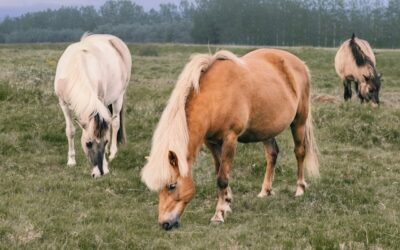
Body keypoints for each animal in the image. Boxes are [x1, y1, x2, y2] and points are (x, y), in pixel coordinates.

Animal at [54, 33, 131, 178]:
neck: (77, 68)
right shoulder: (63, 104)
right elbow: (70, 131)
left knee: (115, 123)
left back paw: (113, 153)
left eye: (105, 141)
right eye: (88, 144)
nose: (100, 173)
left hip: (119, 96)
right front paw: (71, 161)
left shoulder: (100, 101)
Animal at [141, 48, 318, 230]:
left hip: (299, 121)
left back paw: (300, 189)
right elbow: (219, 170)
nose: (165, 224)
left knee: (300, 152)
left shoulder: (230, 139)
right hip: (267, 129)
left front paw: (218, 214)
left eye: (172, 185)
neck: (214, 97)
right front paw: (227, 202)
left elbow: (222, 178)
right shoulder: (211, 142)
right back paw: (265, 191)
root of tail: (299, 63)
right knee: (272, 154)